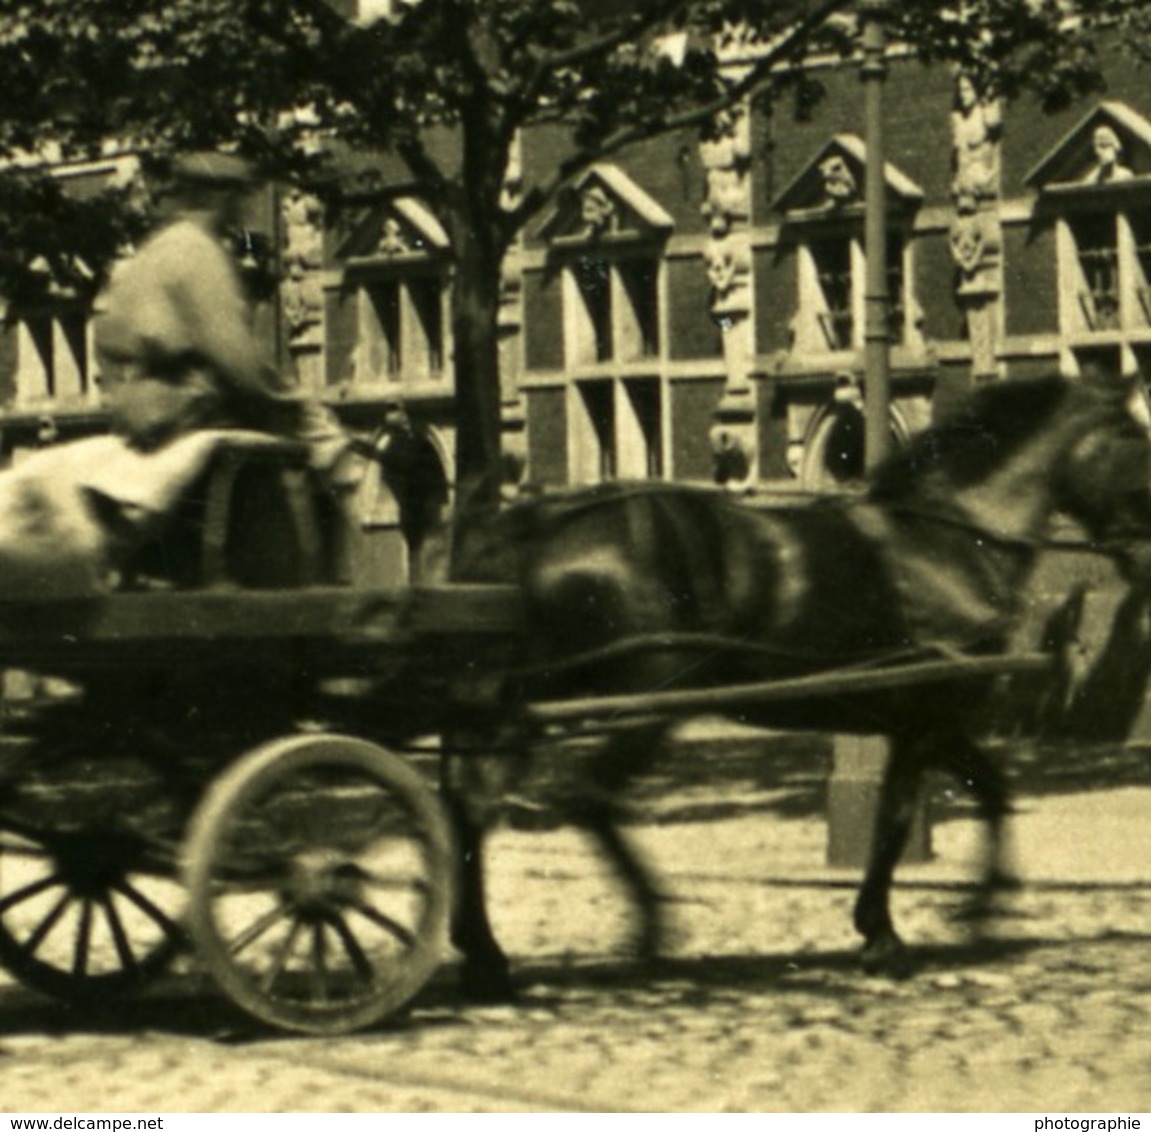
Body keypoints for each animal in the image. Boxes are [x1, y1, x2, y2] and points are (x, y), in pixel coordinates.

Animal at [444, 370, 1151, 990]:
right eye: (1136, 436)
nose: (1144, 557)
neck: (946, 539)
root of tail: (533, 532)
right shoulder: (927, 717)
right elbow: (900, 821)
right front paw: (897, 931)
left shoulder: (919, 722)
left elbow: (984, 794)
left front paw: (952, 913)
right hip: (645, 700)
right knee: (584, 795)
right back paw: (646, 929)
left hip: (530, 699)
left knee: (473, 801)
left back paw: (483, 952)